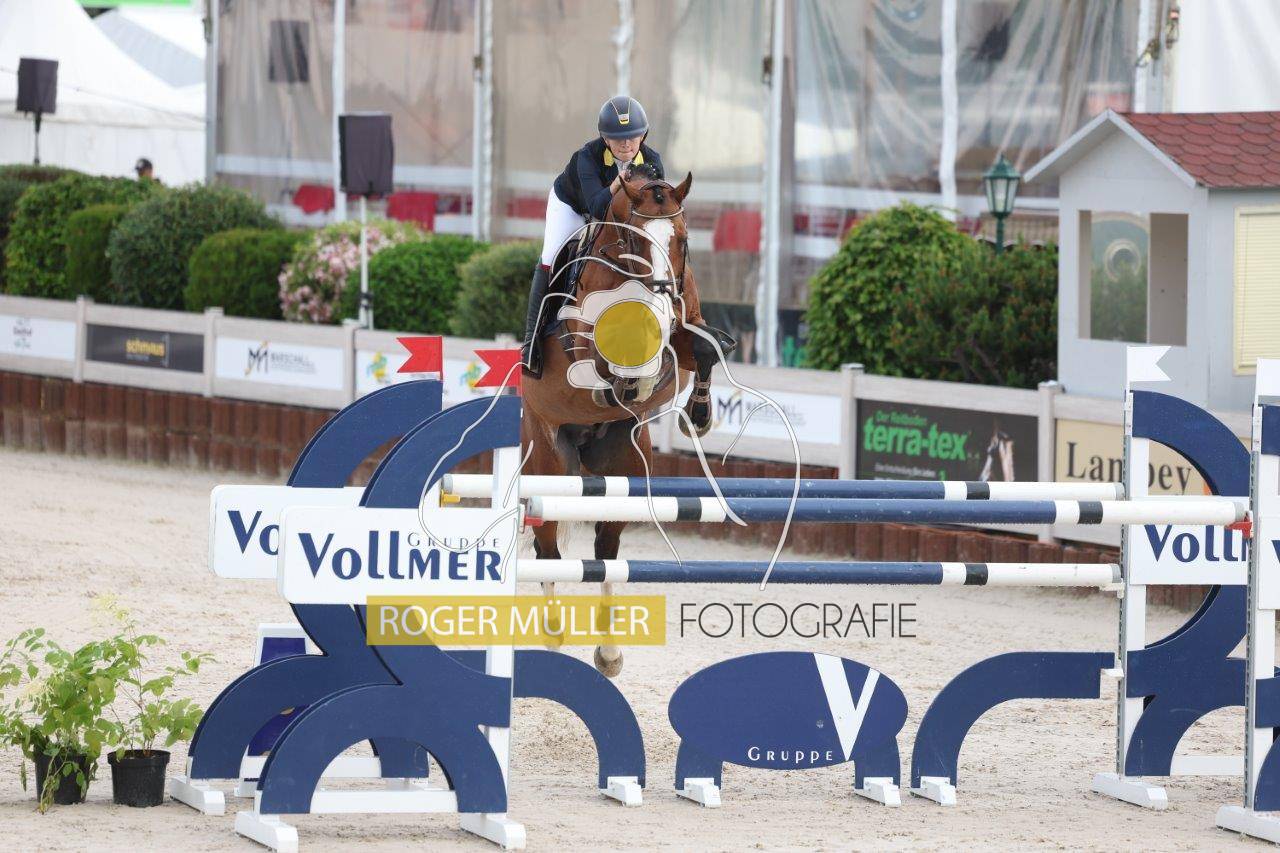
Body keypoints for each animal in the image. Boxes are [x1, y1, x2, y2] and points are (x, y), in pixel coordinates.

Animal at [521, 166, 728, 677]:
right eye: (634, 241)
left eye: (683, 239)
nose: (661, 295)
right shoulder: (584, 341)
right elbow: (615, 355)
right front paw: (632, 382)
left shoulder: (686, 325)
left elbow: (703, 346)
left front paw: (697, 415)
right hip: (548, 464)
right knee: (548, 549)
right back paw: (553, 634)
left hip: (624, 468)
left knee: (606, 552)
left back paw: (609, 653)